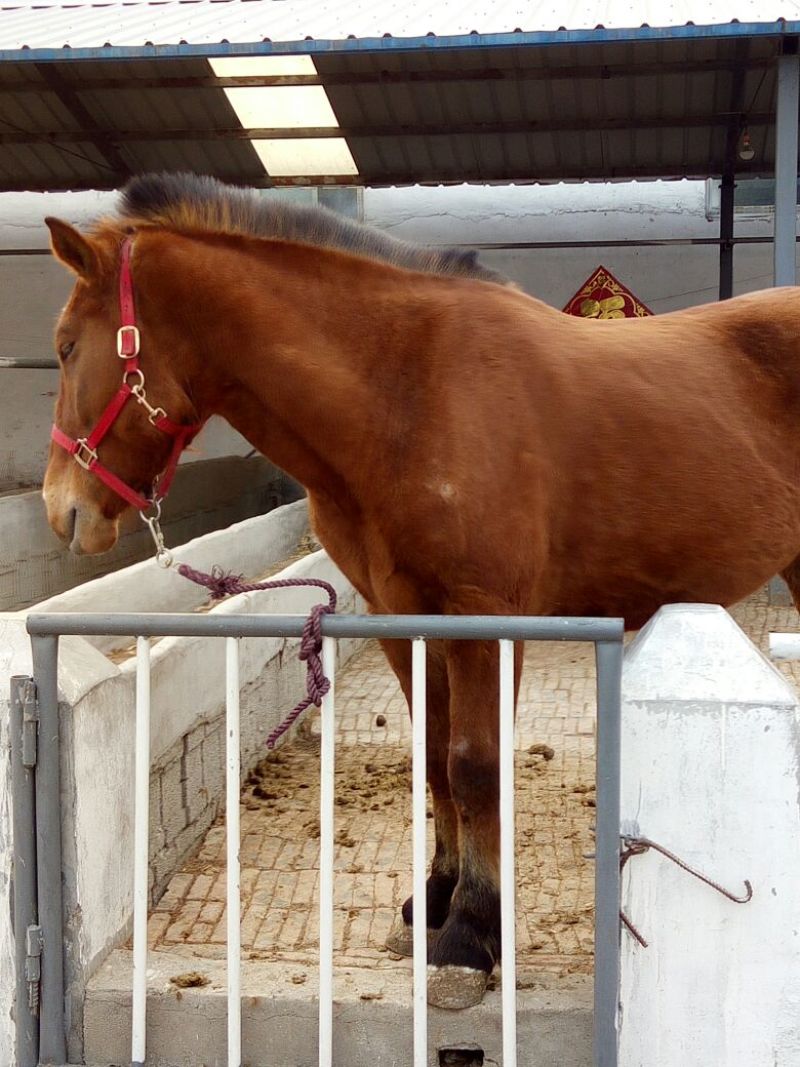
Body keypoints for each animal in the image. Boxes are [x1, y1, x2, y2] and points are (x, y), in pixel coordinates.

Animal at [42, 172, 800, 1010]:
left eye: (67, 344)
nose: (61, 508)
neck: (408, 393)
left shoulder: (483, 616)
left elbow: (474, 762)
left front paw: (472, 932)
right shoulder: (400, 616)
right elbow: (434, 756)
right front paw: (437, 896)